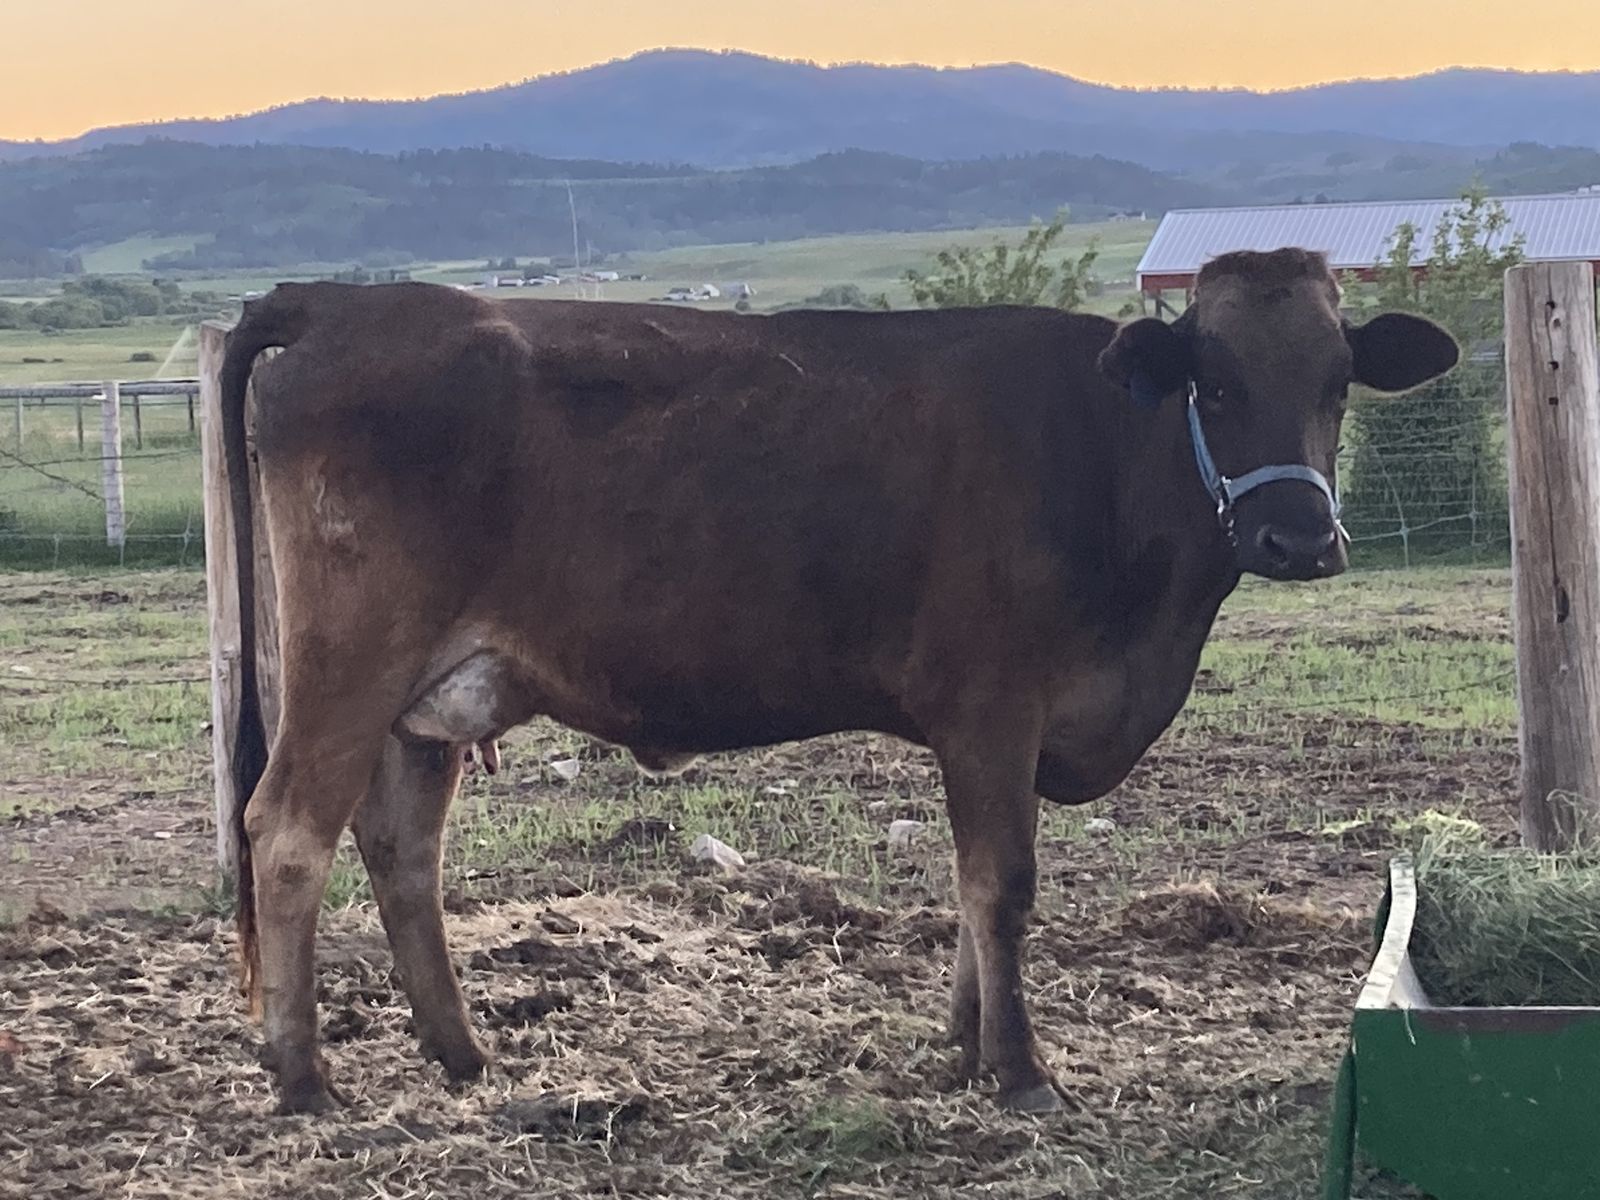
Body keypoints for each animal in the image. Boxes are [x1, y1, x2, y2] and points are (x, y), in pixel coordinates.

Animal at [217, 248, 1458, 1115]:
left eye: (1339, 381)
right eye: (1215, 381)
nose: (1298, 538)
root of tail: (341, 302)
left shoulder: (991, 731)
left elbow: (969, 887)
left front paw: (964, 1045)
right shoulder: (990, 707)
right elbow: (1002, 886)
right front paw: (1020, 1070)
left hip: (429, 697)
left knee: (400, 851)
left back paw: (463, 1054)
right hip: (348, 664)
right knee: (285, 835)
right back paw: (302, 1076)